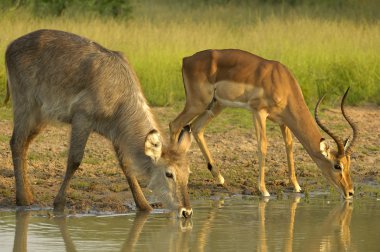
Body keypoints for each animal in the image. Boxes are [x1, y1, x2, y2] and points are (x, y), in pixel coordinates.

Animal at [5, 29, 194, 218]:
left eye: (188, 173)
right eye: (169, 174)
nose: (187, 211)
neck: (119, 94)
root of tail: (10, 46)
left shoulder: (116, 132)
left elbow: (126, 166)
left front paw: (144, 206)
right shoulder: (82, 118)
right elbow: (74, 160)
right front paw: (59, 203)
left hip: (41, 116)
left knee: (24, 144)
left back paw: (29, 195)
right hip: (25, 104)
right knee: (16, 142)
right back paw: (23, 199)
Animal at [171, 49, 358, 199]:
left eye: (349, 164)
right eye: (337, 165)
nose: (350, 192)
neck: (283, 82)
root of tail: (186, 59)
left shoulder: (283, 121)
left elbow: (289, 146)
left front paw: (296, 186)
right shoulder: (259, 112)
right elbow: (263, 146)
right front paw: (264, 190)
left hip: (216, 105)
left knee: (196, 128)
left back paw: (220, 179)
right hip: (197, 103)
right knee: (174, 125)